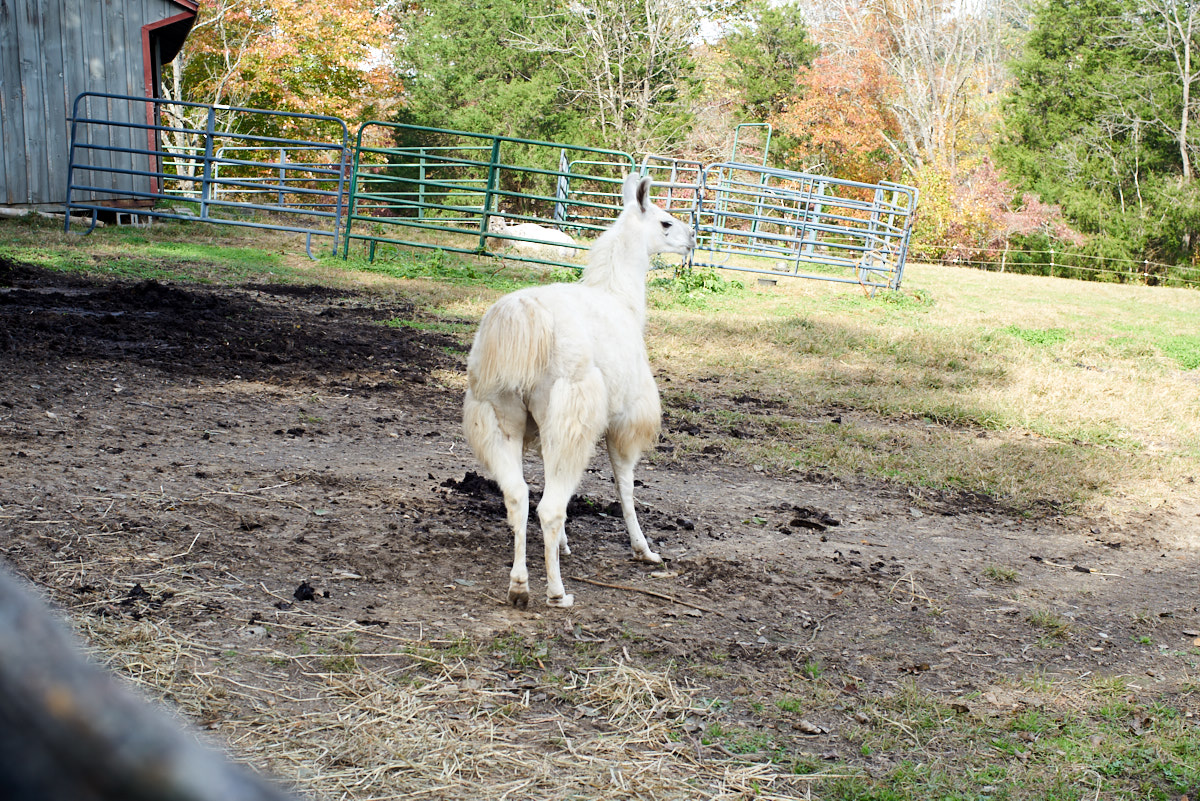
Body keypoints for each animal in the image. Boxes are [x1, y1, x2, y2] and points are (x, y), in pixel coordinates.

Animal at [463, 173, 696, 608]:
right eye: (666, 222)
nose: (692, 238)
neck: (620, 300)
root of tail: (523, 320)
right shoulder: (623, 420)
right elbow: (624, 485)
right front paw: (644, 549)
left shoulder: (543, 429)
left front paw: (564, 545)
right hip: (571, 412)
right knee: (549, 507)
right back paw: (556, 593)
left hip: (499, 414)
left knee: (519, 497)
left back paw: (519, 586)